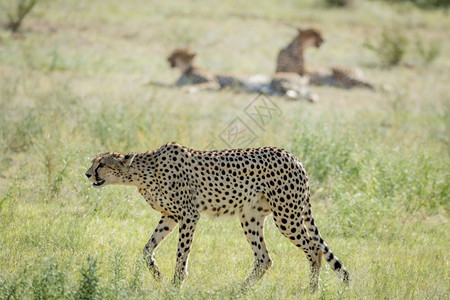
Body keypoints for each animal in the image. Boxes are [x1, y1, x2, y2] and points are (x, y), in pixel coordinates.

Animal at [86, 143, 350, 290]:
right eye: (93, 162)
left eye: (101, 164)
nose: (87, 174)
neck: (142, 172)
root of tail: (293, 156)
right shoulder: (170, 216)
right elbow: (146, 249)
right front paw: (159, 276)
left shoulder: (189, 215)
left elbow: (181, 254)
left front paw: (176, 284)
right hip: (250, 217)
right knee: (264, 259)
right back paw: (240, 290)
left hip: (287, 216)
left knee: (313, 249)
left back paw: (311, 290)